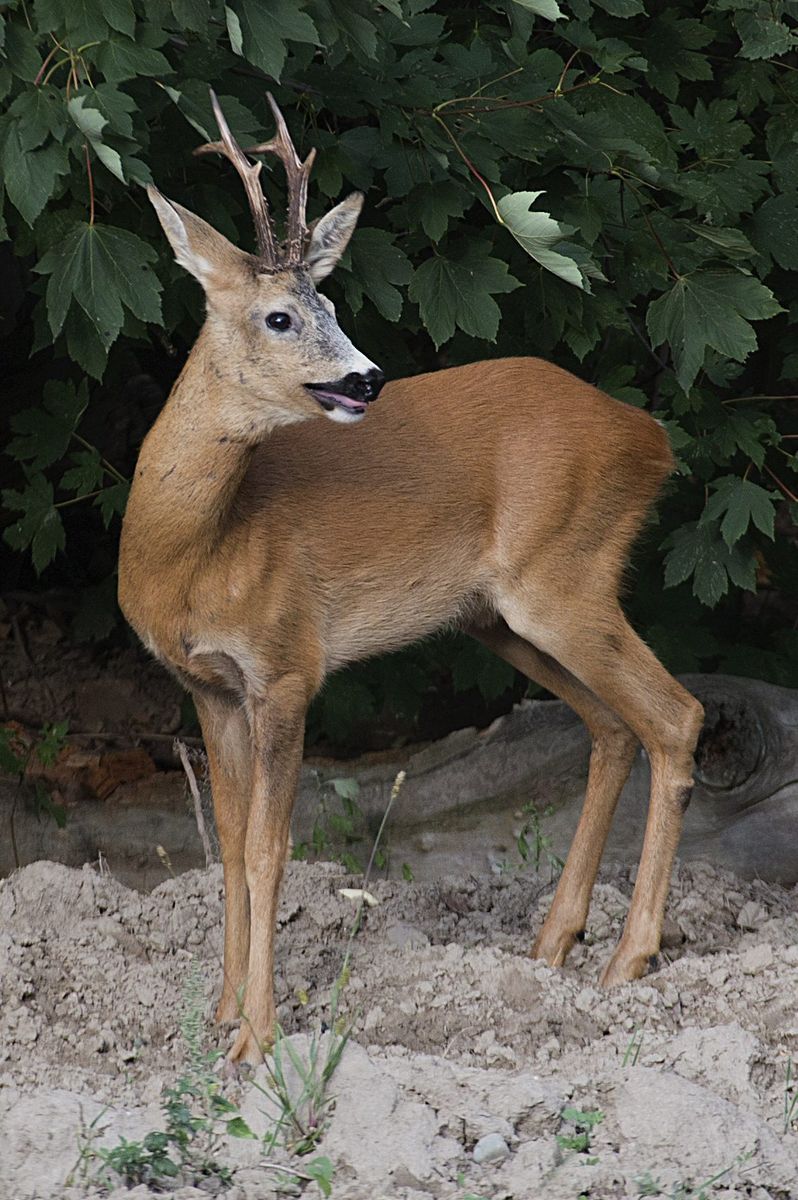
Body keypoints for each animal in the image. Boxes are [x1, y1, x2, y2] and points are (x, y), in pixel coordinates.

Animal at [118, 91, 705, 1065]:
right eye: (281, 316)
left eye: (329, 298)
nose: (368, 377)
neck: (193, 552)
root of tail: (651, 437)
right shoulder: (207, 684)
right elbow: (229, 848)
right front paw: (221, 1015)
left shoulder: (288, 665)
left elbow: (272, 848)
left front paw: (256, 1036)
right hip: (499, 617)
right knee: (614, 727)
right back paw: (552, 945)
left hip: (565, 577)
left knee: (676, 716)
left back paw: (628, 961)